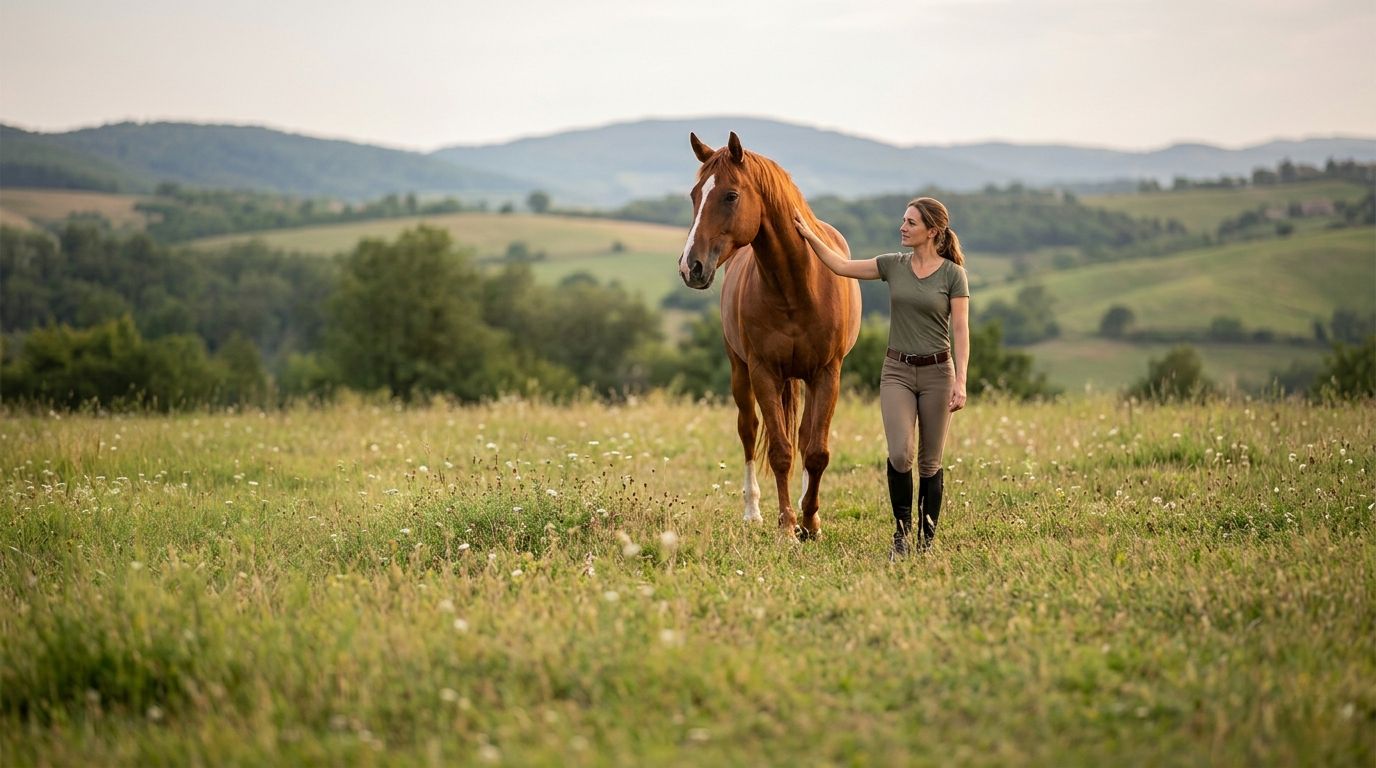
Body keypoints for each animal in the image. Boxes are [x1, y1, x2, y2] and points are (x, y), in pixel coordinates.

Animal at [677, 132, 862, 539]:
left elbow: (816, 451)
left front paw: (810, 522)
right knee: (749, 431)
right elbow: (779, 451)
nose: (689, 266)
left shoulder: (828, 372)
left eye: (730, 195)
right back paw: (754, 512)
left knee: (806, 437)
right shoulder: (763, 372)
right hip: (740, 371)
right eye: (695, 195)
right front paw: (787, 526)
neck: (796, 285)